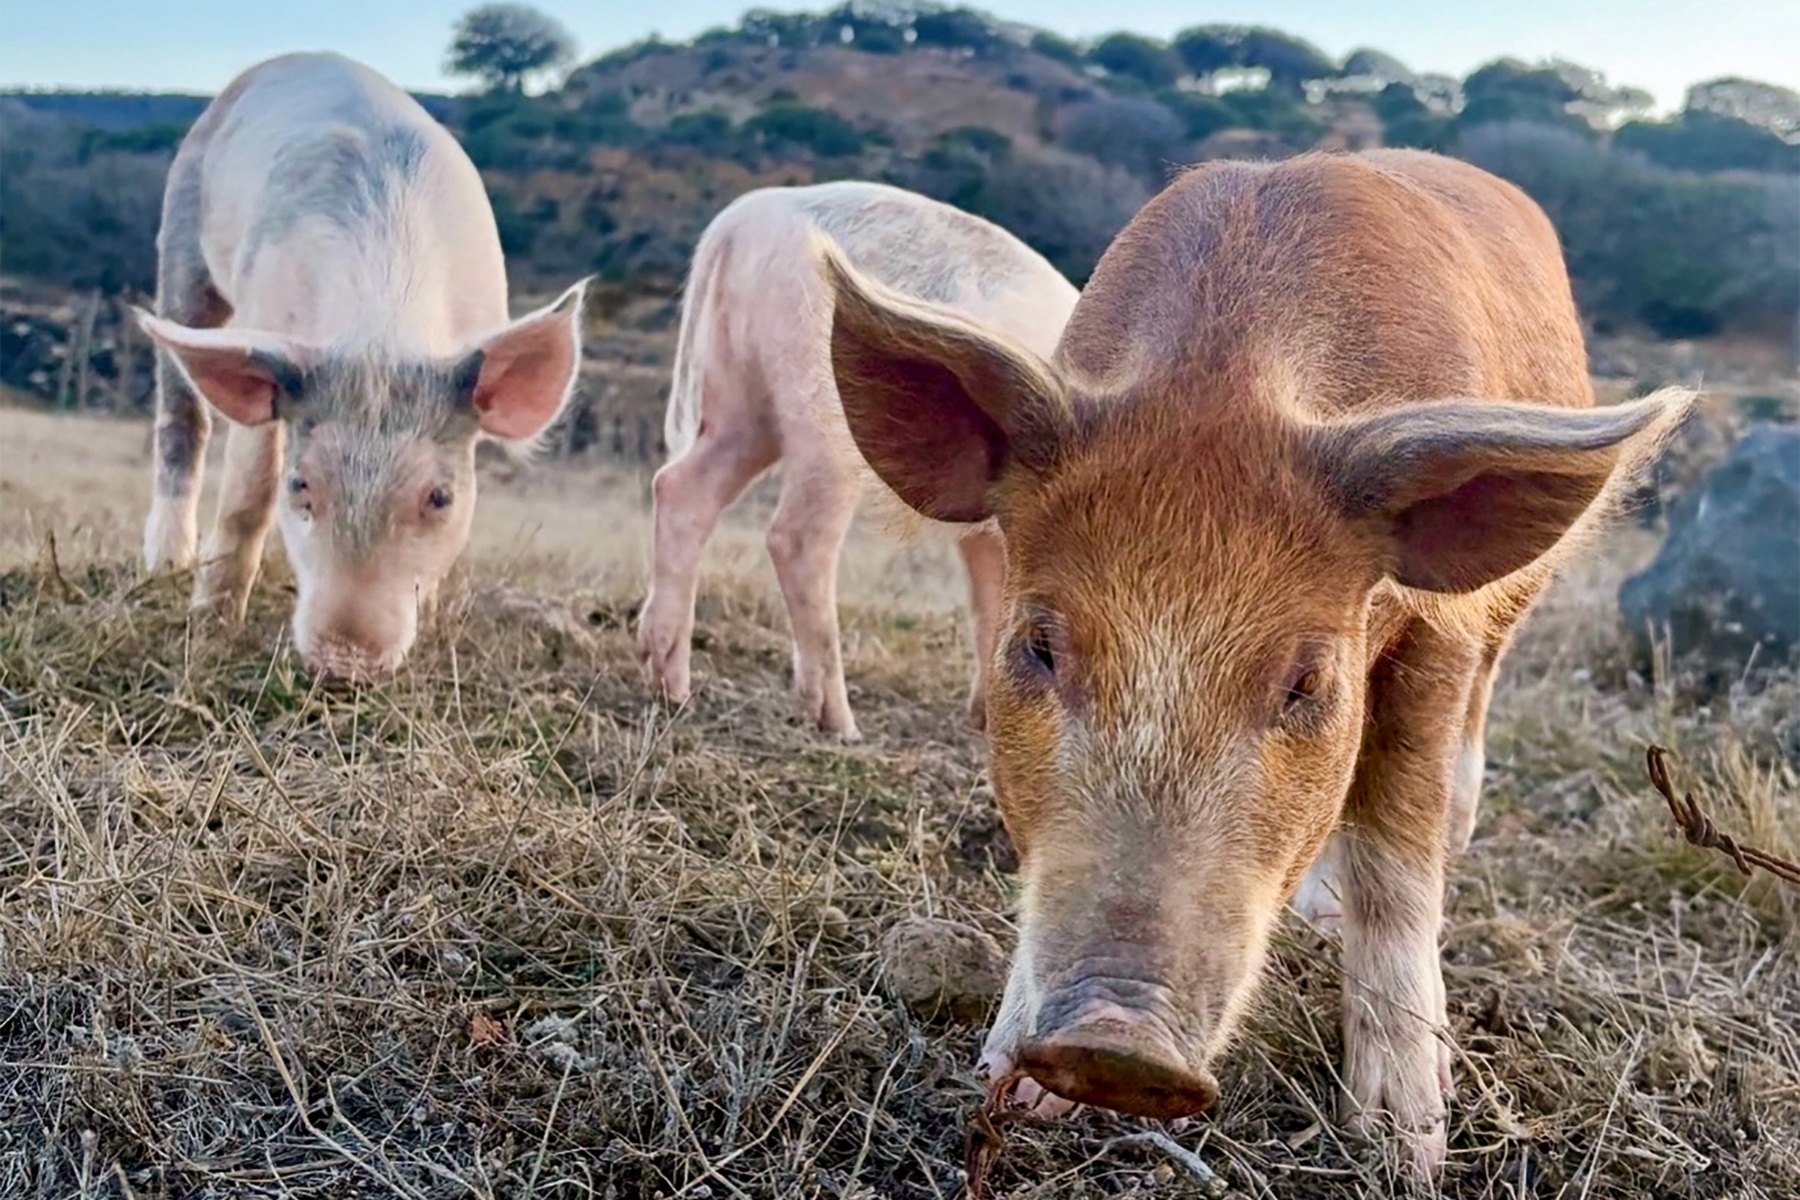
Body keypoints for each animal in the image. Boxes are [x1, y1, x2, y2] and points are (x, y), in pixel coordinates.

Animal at [137, 52, 586, 681]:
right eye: (301, 484)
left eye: (440, 497)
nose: (345, 660)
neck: (381, 331)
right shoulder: (269, 325)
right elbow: (250, 491)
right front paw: (210, 624)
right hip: (181, 236)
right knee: (183, 413)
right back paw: (166, 565)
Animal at [636, 182, 1079, 739]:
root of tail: (742, 221)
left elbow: (992, 595)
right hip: (824, 417)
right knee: (796, 538)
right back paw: (840, 724)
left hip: (739, 394)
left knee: (682, 488)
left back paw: (670, 688)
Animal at [815, 149, 1691, 1177]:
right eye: (1037, 646)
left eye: (1306, 685)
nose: (1114, 1042)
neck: (1225, 375)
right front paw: (1014, 1082)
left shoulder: (1433, 635)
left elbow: (1397, 853)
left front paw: (1403, 1143)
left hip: (1511, 605)